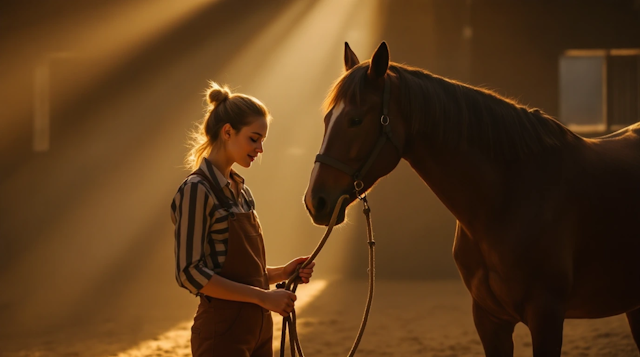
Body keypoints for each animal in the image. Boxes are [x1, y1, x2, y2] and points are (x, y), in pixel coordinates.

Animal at [304, 41, 640, 354]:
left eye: (356, 120)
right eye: (326, 119)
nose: (315, 201)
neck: (510, 197)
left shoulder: (547, 316)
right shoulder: (489, 320)